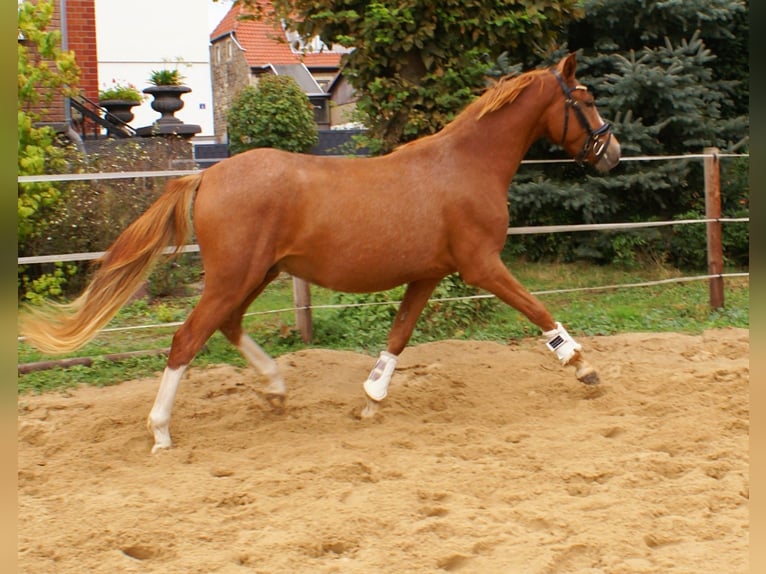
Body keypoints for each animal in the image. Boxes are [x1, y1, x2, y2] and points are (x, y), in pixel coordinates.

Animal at [22, 54, 624, 452]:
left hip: (257, 273)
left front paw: (371, 398)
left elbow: (398, 335)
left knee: (227, 325)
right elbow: (536, 309)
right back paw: (162, 431)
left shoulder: (429, 274)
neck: (465, 165)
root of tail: (208, 175)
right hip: (235, 274)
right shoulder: (481, 266)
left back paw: (276, 388)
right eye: (588, 100)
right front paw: (584, 367)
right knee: (187, 339)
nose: (612, 153)